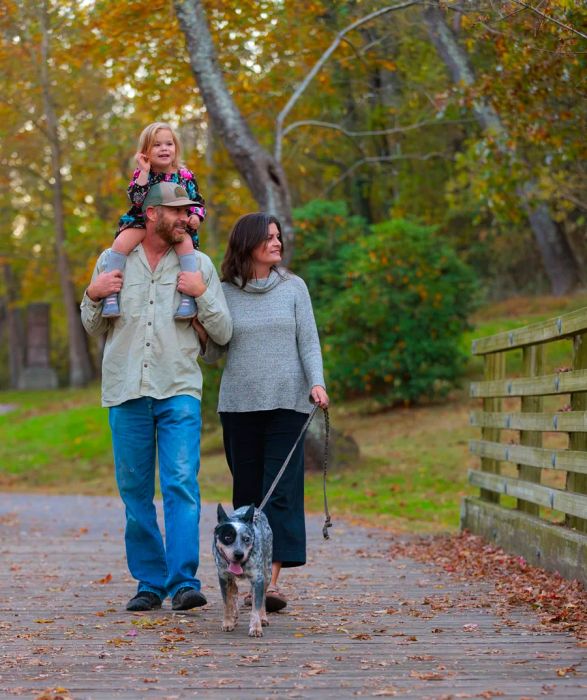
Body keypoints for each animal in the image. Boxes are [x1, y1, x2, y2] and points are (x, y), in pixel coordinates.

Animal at [214, 506, 274, 636]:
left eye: (247, 539)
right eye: (228, 538)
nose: (239, 554)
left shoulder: (258, 579)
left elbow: (256, 606)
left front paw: (256, 628)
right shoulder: (224, 578)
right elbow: (227, 603)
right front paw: (228, 622)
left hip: (267, 572)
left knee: (263, 597)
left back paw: (263, 618)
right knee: (234, 590)